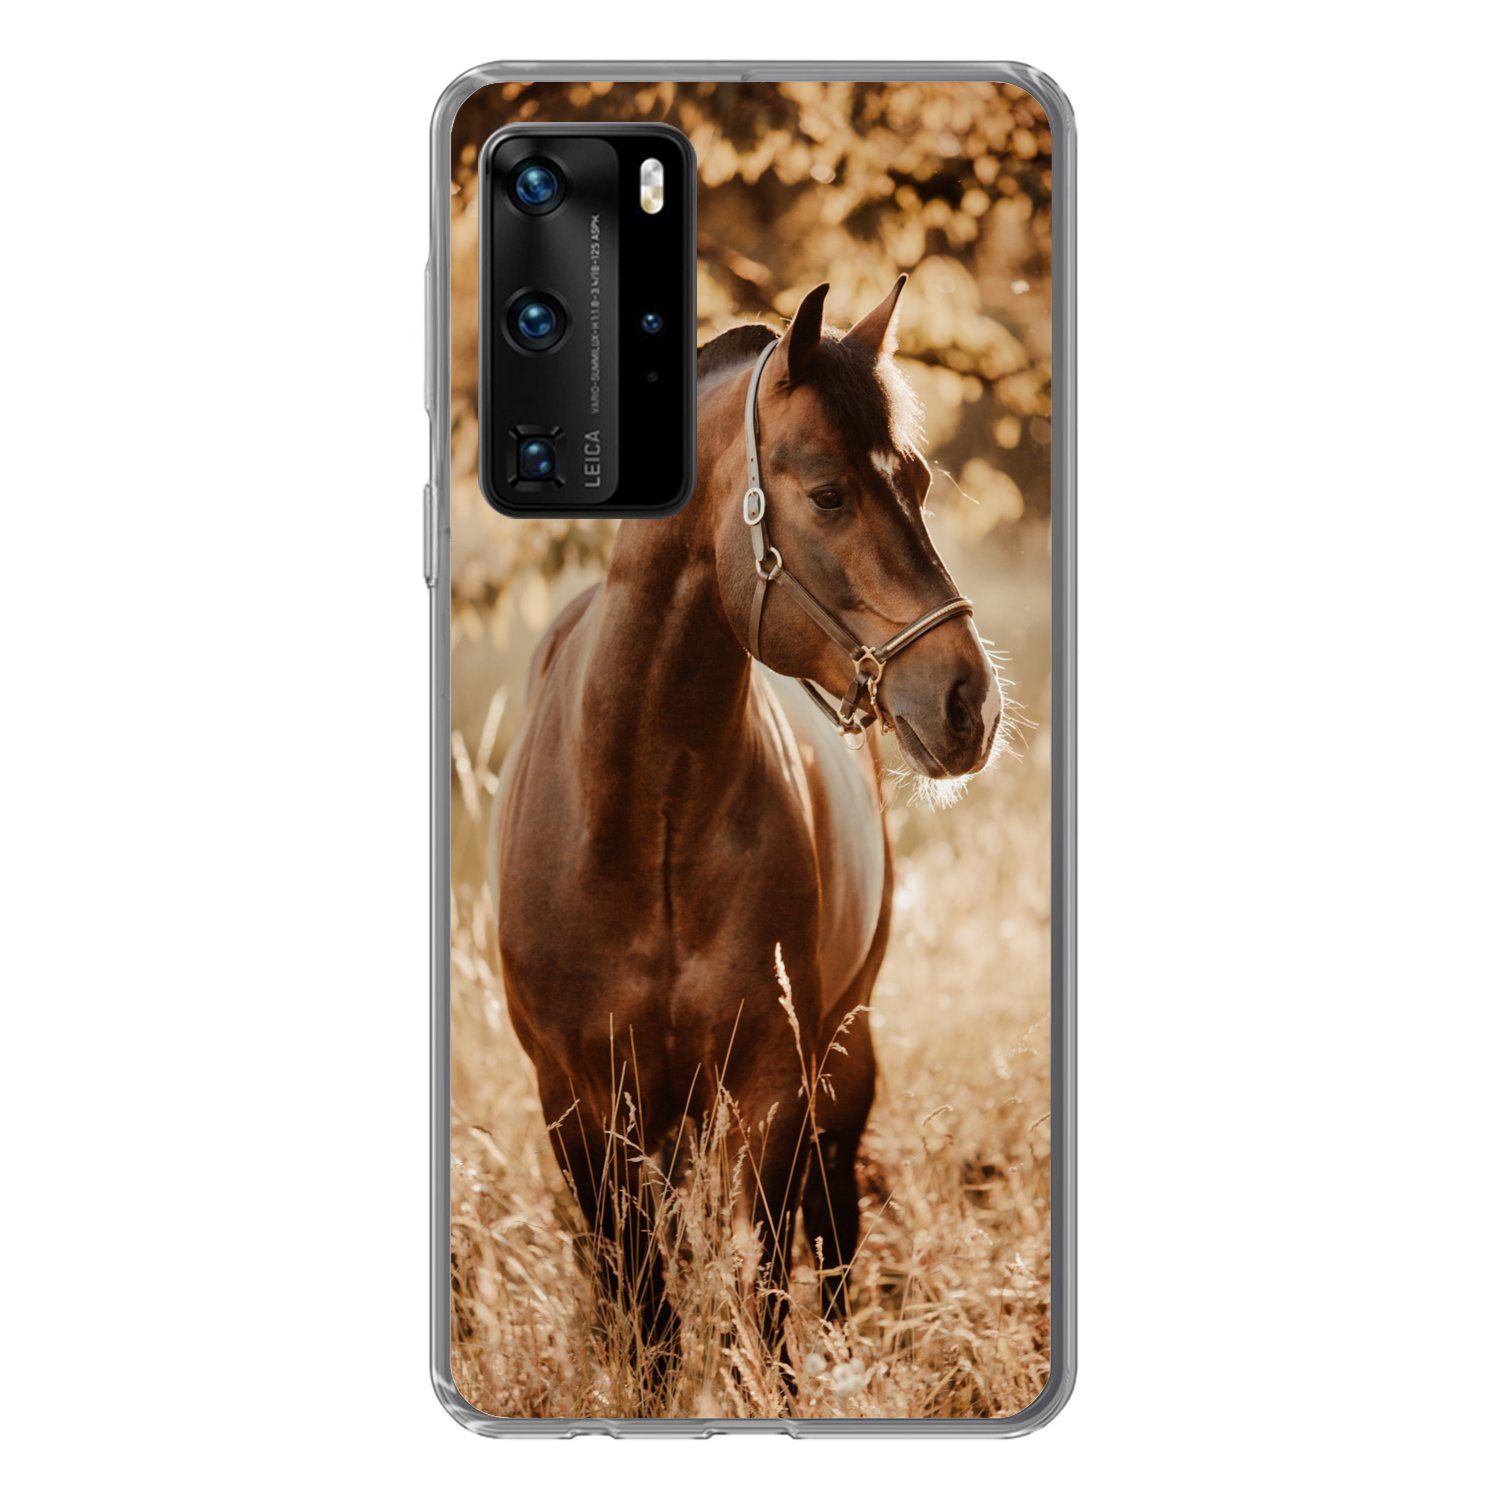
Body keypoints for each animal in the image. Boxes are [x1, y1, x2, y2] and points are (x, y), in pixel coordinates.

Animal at [489, 277, 1003, 1388]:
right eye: (828, 495)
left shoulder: (773, 1085)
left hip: (841, 1062)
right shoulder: (577, 1102)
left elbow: (767, 1297)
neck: (643, 817)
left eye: (918, 479)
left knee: (834, 1237)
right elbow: (644, 1311)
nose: (969, 704)